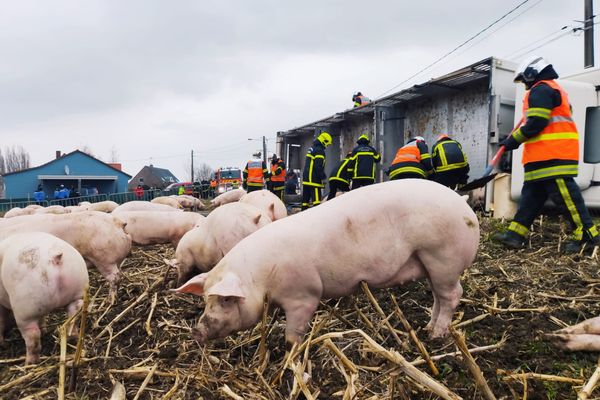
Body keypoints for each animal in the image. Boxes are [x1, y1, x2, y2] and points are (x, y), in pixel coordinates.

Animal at [0, 231, 88, 366]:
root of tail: (54, 258)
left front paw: (3, 345)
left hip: (26, 309)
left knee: (33, 336)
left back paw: (29, 363)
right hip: (78, 290)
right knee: (74, 313)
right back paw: (71, 337)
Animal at [172, 180, 478, 346]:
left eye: (225, 300)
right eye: (206, 299)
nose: (197, 331)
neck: (261, 277)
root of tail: (463, 204)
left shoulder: (303, 294)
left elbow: (294, 331)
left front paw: (292, 351)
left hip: (442, 256)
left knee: (453, 295)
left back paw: (436, 336)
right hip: (432, 264)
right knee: (438, 297)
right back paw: (427, 328)